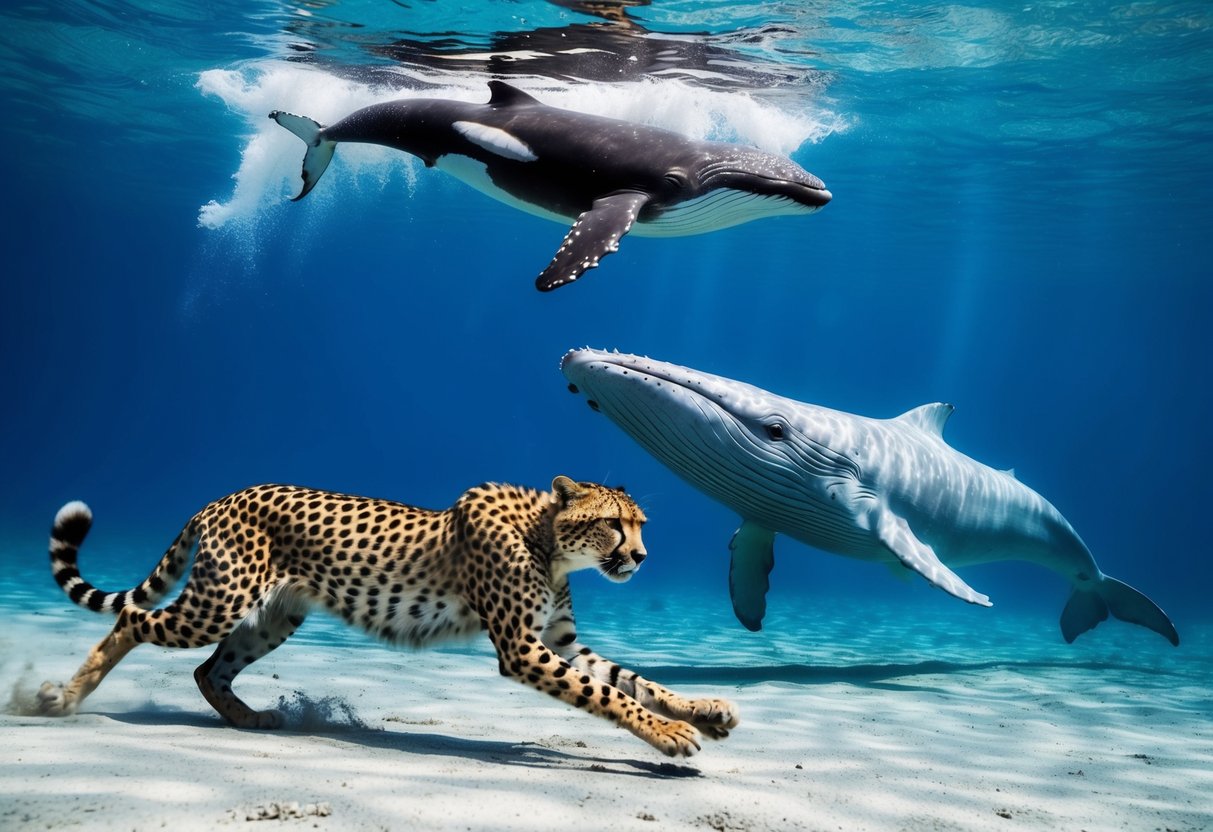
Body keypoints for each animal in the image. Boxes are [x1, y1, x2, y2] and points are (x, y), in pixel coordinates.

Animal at [36, 476, 738, 757]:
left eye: (641, 525)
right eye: (614, 524)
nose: (641, 557)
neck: (548, 539)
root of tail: (224, 495)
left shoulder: (558, 643)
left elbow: (634, 681)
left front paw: (704, 709)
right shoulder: (523, 648)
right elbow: (610, 696)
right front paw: (671, 737)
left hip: (273, 618)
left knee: (209, 671)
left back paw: (251, 718)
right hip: (216, 604)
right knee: (132, 621)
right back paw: (63, 697)